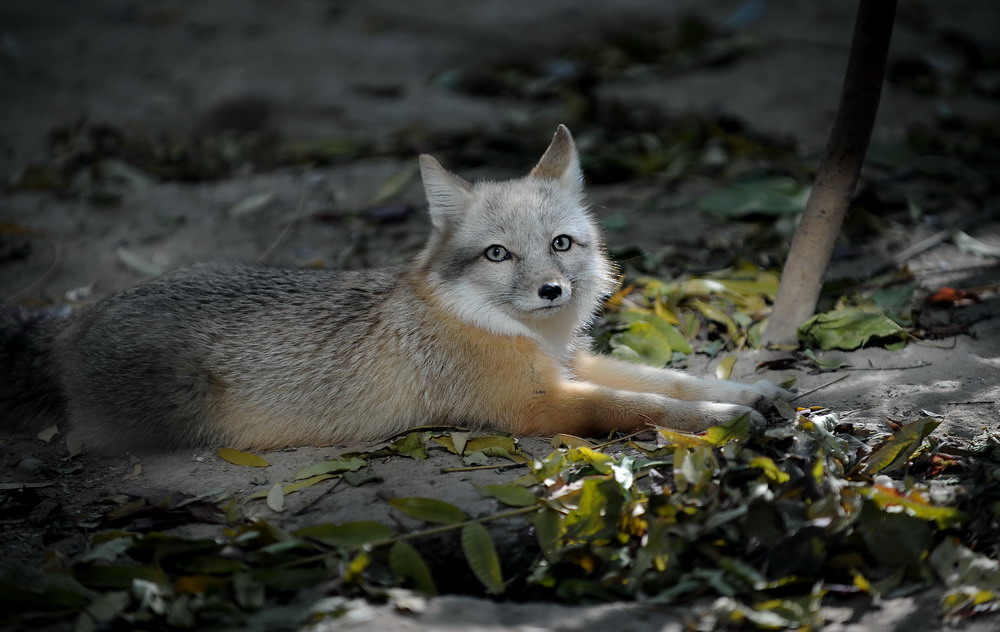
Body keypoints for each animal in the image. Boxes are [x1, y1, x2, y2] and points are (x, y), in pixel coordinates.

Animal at [3, 123, 792, 452]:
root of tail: (77, 319)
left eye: (561, 245)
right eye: (498, 255)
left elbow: (667, 378)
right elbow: (636, 405)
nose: (551, 291)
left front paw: (749, 391)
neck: (527, 337)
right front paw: (726, 418)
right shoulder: (538, 405)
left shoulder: (573, 363)